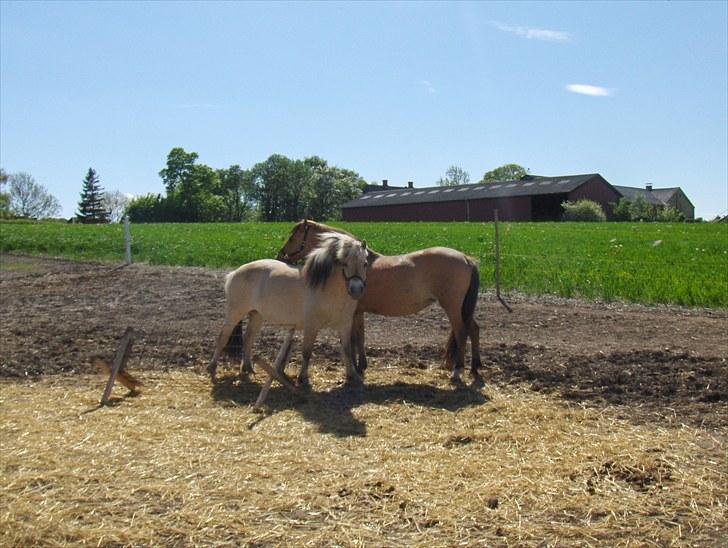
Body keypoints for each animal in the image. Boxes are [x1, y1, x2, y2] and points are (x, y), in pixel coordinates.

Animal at [209, 231, 370, 390]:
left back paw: (248, 368)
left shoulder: (345, 325)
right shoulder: (312, 326)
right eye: (345, 263)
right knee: (223, 337)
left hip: (256, 315)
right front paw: (303, 379)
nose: (356, 289)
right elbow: (306, 352)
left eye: (365, 263)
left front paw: (353, 377)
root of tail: (234, 273)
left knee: (249, 338)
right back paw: (212, 367)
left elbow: (347, 351)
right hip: (235, 313)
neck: (329, 289)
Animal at [276, 218, 480, 382]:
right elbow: (359, 337)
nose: (280, 255)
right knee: (474, 329)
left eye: (292, 238)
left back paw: (457, 372)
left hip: (452, 306)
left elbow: (353, 339)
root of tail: (466, 258)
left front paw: (355, 369)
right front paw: (360, 366)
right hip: (462, 308)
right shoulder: (358, 312)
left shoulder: (353, 313)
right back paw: (475, 368)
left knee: (462, 332)